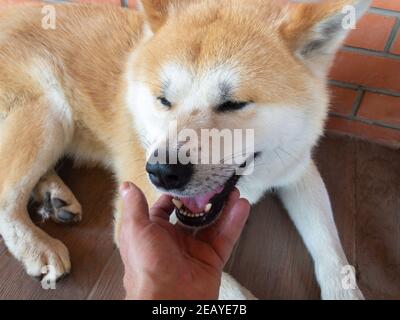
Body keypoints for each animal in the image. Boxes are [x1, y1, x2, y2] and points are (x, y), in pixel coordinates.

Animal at [0, 0, 370, 300]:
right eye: (164, 100)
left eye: (233, 104)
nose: (162, 172)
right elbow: (231, 290)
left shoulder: (297, 168)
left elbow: (331, 249)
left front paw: (345, 292)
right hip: (51, 111)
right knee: (6, 197)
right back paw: (37, 246)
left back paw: (53, 195)